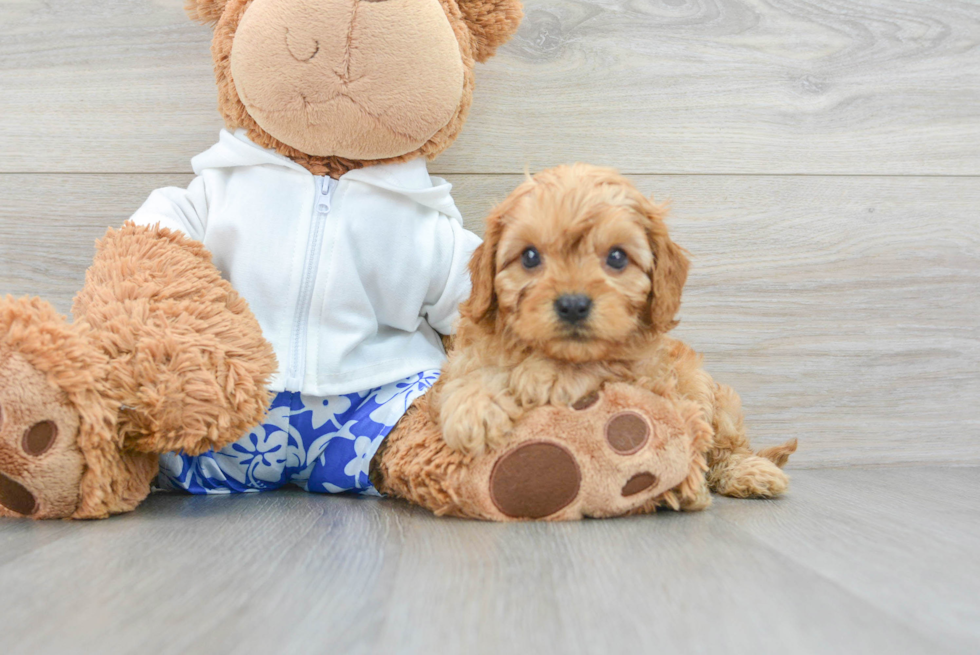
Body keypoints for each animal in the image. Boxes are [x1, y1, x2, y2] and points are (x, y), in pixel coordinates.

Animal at [432, 165, 800, 502]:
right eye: (530, 256)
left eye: (618, 257)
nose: (573, 305)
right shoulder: (470, 349)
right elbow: (473, 370)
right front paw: (475, 406)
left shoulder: (650, 378)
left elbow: (610, 361)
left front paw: (549, 374)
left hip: (712, 395)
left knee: (725, 445)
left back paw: (750, 471)